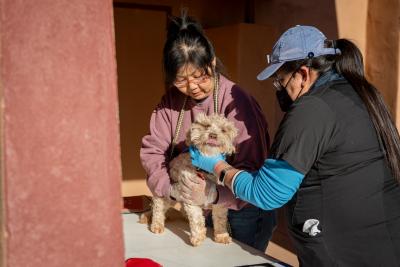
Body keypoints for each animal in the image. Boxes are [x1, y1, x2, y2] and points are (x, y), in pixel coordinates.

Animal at [149, 112, 238, 247]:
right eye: (206, 126)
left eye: (223, 130)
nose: (213, 135)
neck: (205, 171)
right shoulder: (190, 195)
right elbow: (197, 219)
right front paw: (198, 237)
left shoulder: (219, 201)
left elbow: (220, 219)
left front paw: (221, 236)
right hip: (167, 196)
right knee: (158, 206)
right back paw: (157, 225)